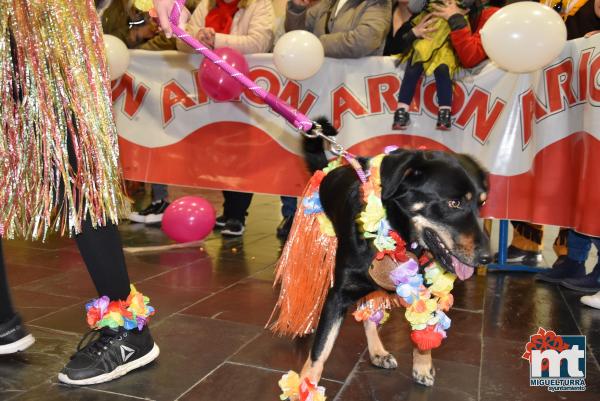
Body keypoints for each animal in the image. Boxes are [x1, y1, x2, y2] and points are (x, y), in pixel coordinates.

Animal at [270, 117, 490, 390]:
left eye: (481, 203)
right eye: (454, 203)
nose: (487, 258)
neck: (400, 234)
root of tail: (327, 169)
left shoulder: (426, 287)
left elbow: (424, 330)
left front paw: (422, 366)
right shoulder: (338, 295)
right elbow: (320, 350)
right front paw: (305, 387)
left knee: (368, 314)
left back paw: (377, 352)